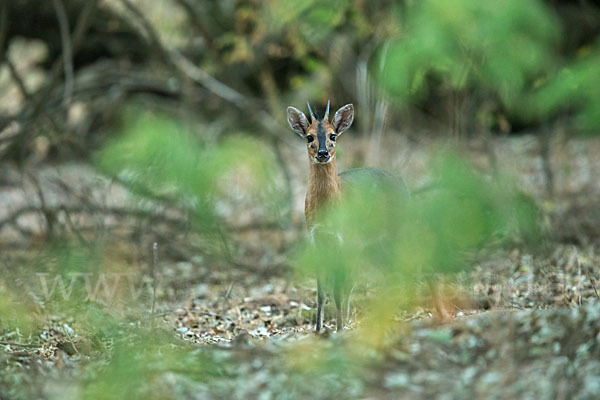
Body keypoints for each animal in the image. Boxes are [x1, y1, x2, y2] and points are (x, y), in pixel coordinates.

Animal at [288, 101, 408, 332]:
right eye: (309, 137)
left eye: (333, 135)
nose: (323, 153)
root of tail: (402, 183)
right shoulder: (316, 237)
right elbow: (321, 290)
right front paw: (319, 329)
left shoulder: (342, 237)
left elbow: (337, 287)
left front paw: (338, 329)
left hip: (395, 229)